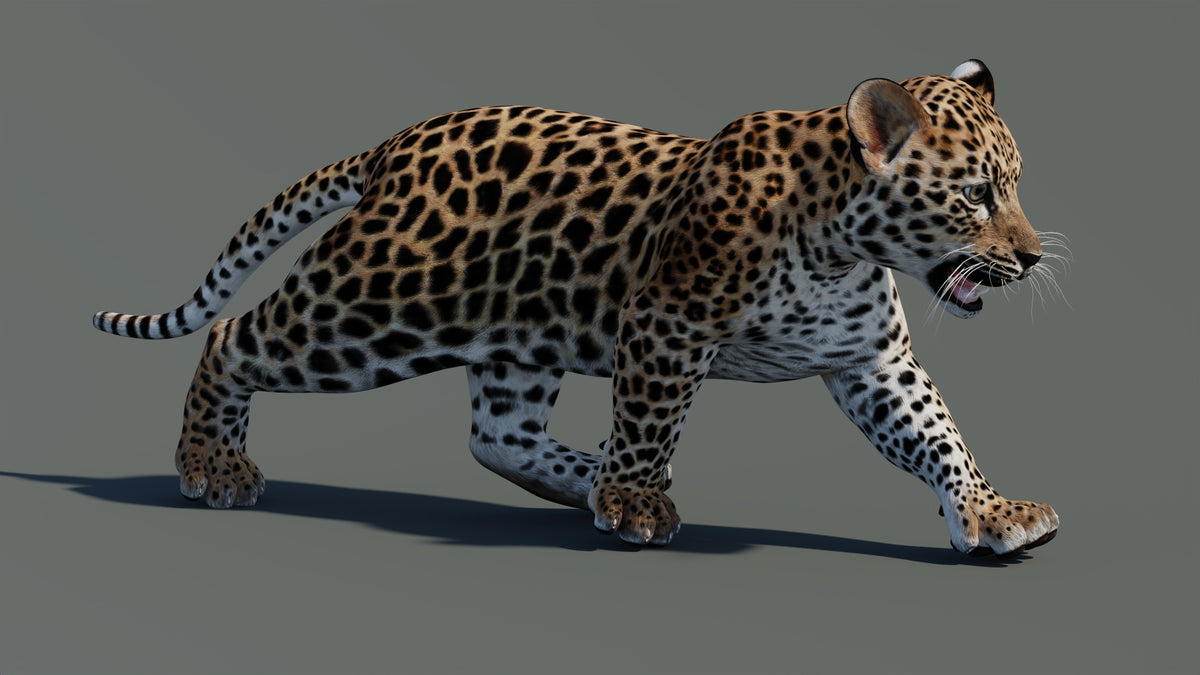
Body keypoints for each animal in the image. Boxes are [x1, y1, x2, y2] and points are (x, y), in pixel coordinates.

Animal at [94, 59, 1059, 558]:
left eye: (1015, 187)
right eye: (976, 194)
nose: (1030, 256)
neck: (840, 245)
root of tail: (401, 141)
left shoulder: (871, 361)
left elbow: (936, 433)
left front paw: (991, 512)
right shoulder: (665, 324)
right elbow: (650, 418)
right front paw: (633, 501)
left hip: (517, 333)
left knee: (497, 435)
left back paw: (582, 474)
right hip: (373, 307)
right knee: (233, 334)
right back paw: (212, 465)